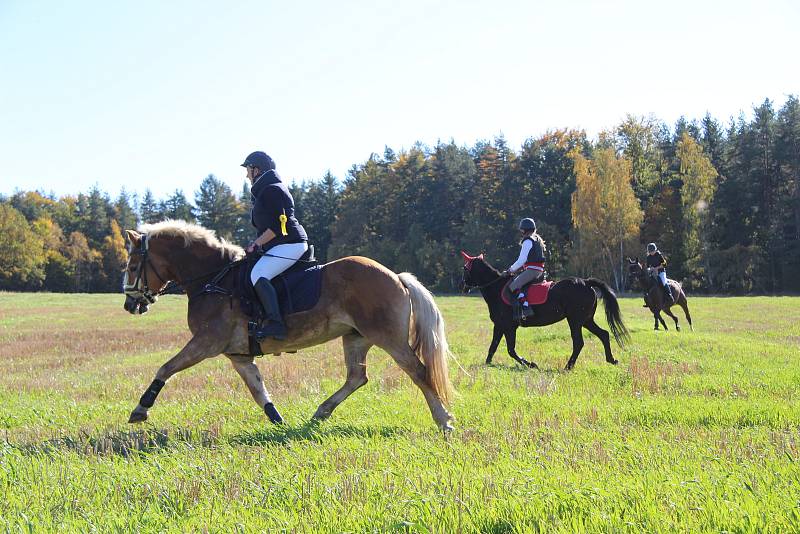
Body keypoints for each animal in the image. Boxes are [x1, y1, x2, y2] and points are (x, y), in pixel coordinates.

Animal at [121, 220, 454, 434]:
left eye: (133, 266)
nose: (129, 305)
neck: (212, 279)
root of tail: (396, 276)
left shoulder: (206, 343)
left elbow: (166, 367)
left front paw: (140, 409)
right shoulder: (238, 355)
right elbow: (258, 390)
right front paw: (278, 422)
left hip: (388, 337)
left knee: (418, 371)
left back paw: (444, 420)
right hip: (356, 337)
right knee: (357, 377)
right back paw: (320, 413)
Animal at [460, 253, 628, 370]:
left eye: (465, 268)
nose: (463, 287)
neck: (496, 288)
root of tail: (586, 282)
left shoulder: (508, 326)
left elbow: (510, 350)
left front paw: (531, 364)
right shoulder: (500, 325)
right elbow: (493, 346)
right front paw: (487, 364)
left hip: (575, 321)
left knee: (579, 342)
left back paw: (568, 366)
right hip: (586, 320)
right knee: (604, 334)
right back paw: (611, 360)